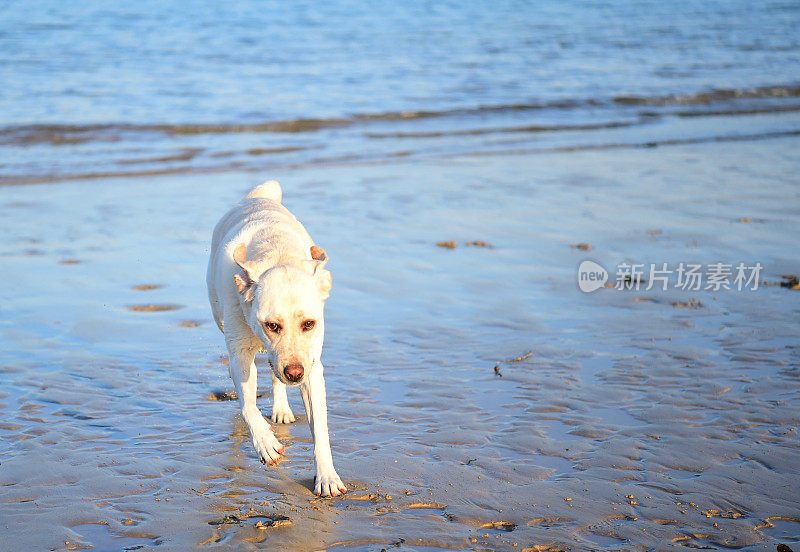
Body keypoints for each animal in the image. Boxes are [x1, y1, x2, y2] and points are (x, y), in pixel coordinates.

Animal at [205, 180, 346, 496]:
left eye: (309, 323)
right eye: (272, 325)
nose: (294, 373)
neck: (276, 251)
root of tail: (258, 198)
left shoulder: (312, 366)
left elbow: (320, 428)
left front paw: (327, 476)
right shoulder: (240, 353)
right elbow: (247, 405)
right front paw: (265, 443)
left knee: (275, 376)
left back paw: (281, 407)